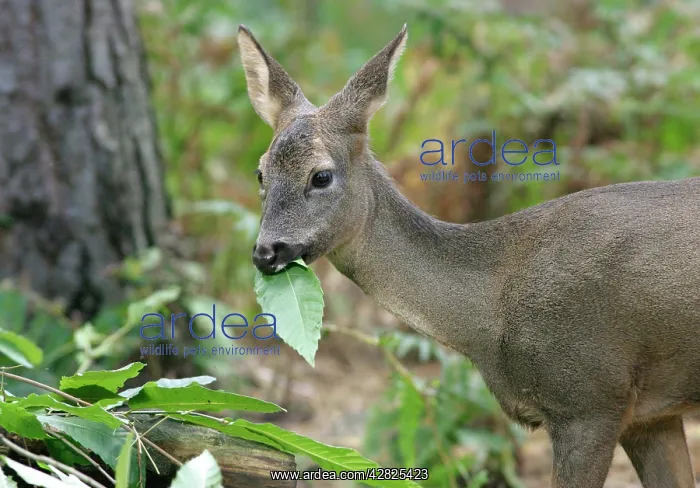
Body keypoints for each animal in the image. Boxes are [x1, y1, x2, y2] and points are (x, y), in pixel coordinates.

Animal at [238, 23, 700, 488]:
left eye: (321, 176)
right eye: (260, 172)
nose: (265, 252)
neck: (490, 312)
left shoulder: (590, 397)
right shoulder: (649, 416)